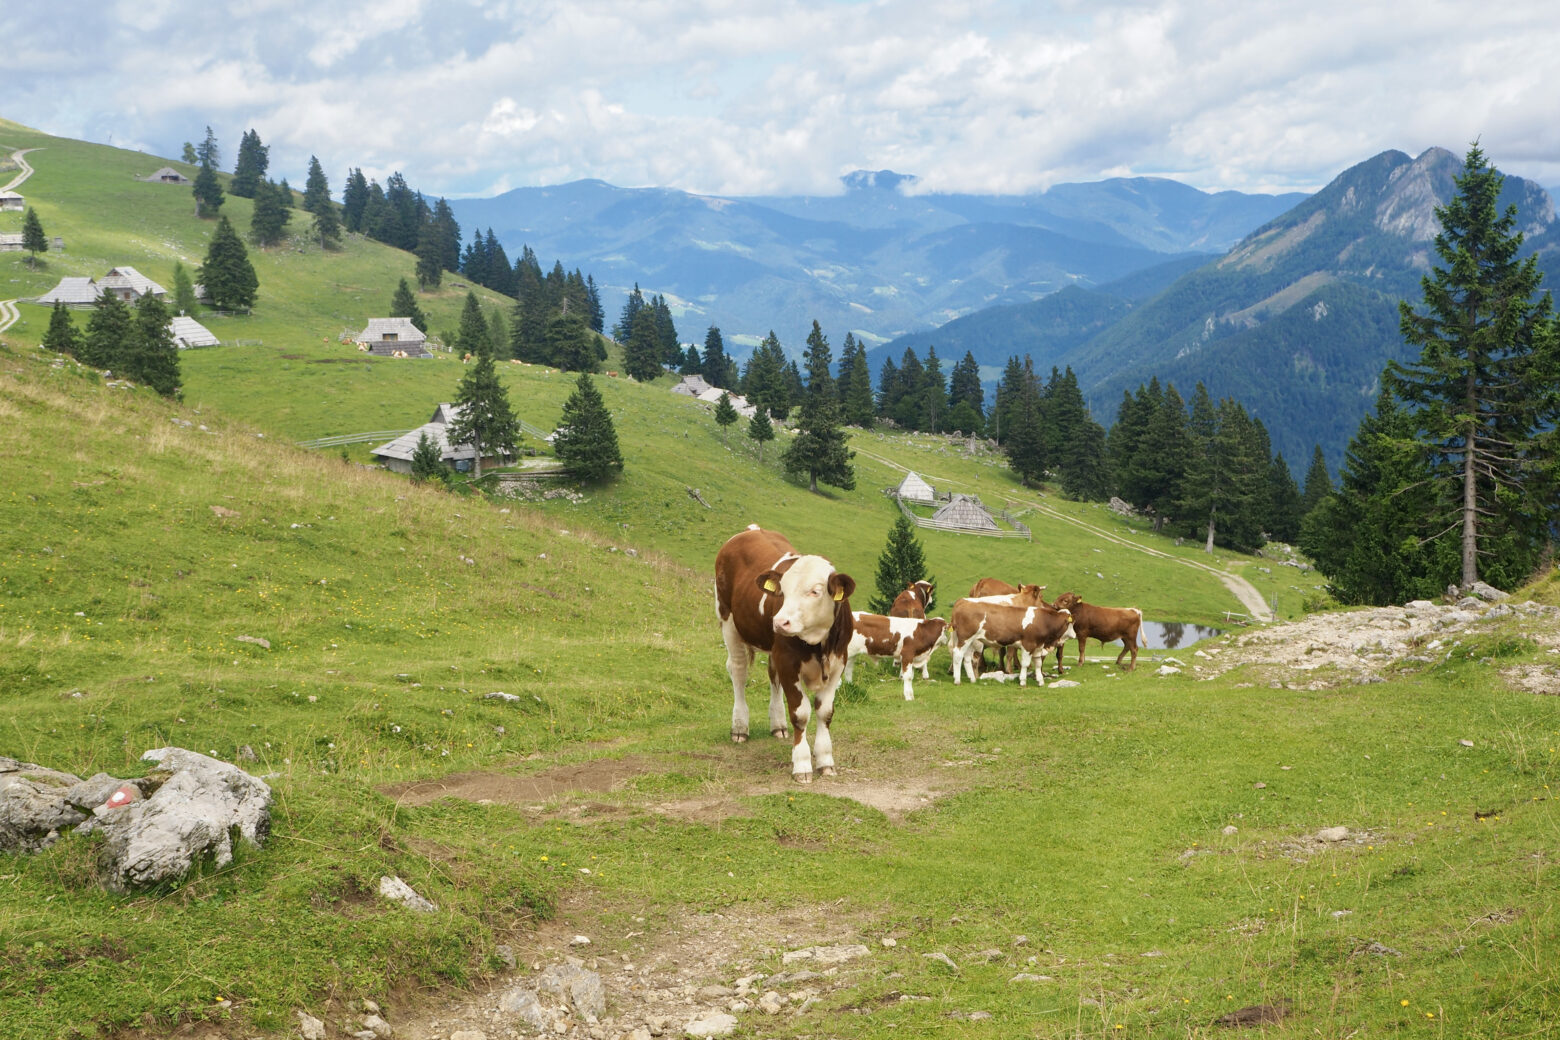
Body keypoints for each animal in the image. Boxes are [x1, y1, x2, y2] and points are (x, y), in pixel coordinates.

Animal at [714, 523, 854, 785]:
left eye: (815, 591)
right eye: (783, 592)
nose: (779, 622)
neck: (818, 643)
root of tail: (752, 529)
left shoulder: (838, 662)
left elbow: (825, 712)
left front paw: (825, 760)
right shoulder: (788, 662)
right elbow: (801, 713)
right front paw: (802, 764)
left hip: (772, 649)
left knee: (772, 676)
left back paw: (778, 725)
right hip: (728, 621)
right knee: (738, 671)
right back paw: (739, 727)